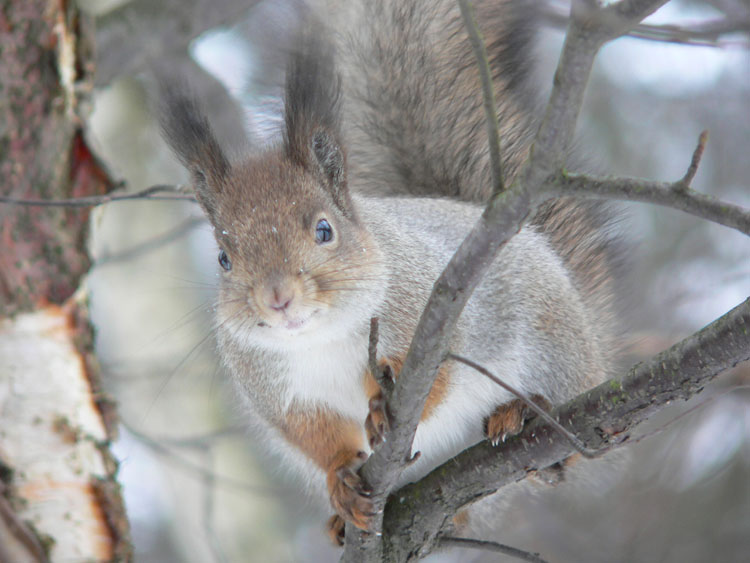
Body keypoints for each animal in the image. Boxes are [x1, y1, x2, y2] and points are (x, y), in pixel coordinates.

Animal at [159, 0, 624, 548]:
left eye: (324, 229)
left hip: (555, 346)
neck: (320, 338)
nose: (278, 298)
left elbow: (438, 375)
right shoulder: (278, 393)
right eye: (223, 258)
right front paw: (340, 479)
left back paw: (525, 411)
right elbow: (314, 435)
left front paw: (385, 407)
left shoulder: (433, 311)